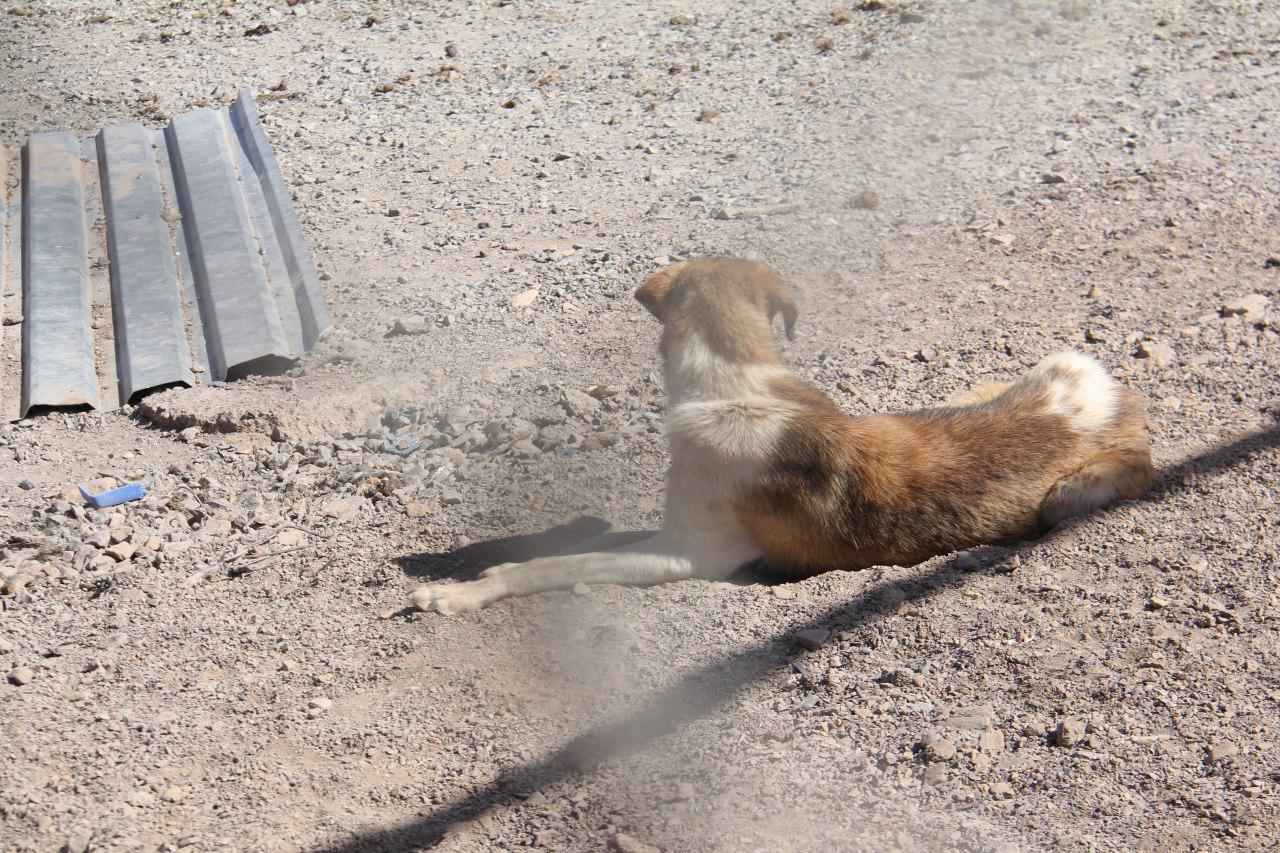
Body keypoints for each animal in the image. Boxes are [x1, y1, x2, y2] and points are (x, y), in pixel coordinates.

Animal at [414, 252, 1157, 612]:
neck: (735, 381)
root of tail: (1119, 399)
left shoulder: (691, 554)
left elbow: (561, 564)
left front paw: (461, 592)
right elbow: (576, 547)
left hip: (1067, 497)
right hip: (1005, 377)